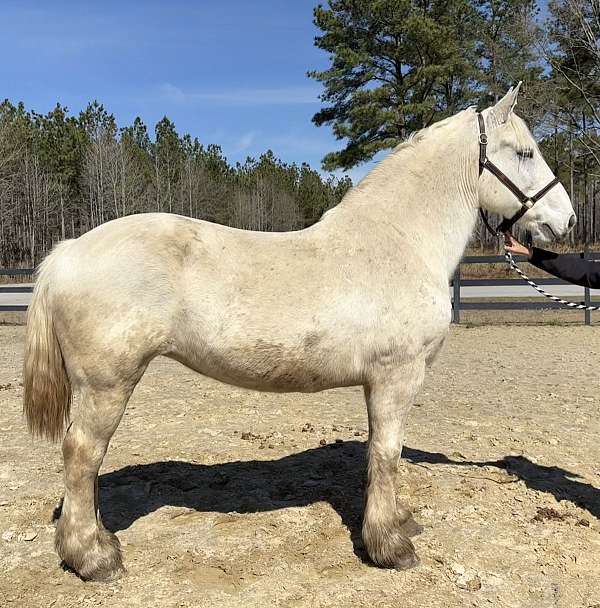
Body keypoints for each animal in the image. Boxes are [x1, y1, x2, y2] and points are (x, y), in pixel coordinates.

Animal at [23, 85, 576, 580]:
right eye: (524, 152)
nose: (565, 221)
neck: (401, 240)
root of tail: (67, 251)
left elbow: (378, 452)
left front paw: (398, 523)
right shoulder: (397, 377)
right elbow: (388, 453)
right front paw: (390, 547)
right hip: (107, 384)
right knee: (82, 454)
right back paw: (92, 559)